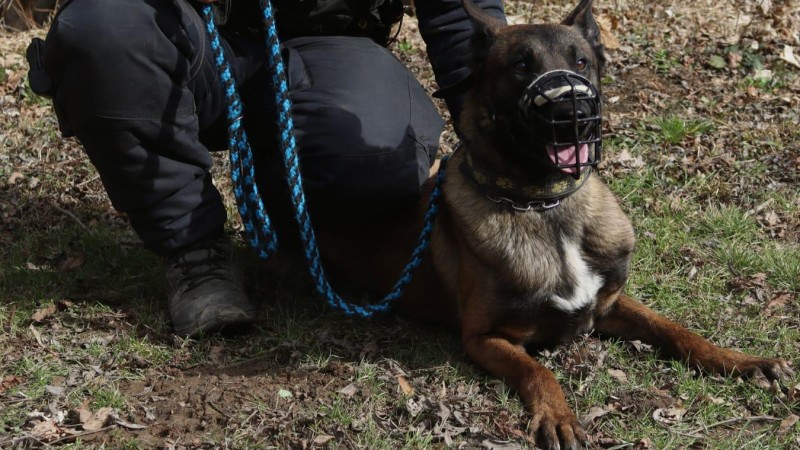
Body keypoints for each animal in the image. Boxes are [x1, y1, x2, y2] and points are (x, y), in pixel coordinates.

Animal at [310, 1, 788, 448]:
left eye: (582, 62)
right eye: (521, 65)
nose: (573, 107)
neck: (543, 206)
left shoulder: (609, 304)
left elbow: (677, 330)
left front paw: (739, 361)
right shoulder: (484, 337)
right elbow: (537, 370)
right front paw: (558, 417)